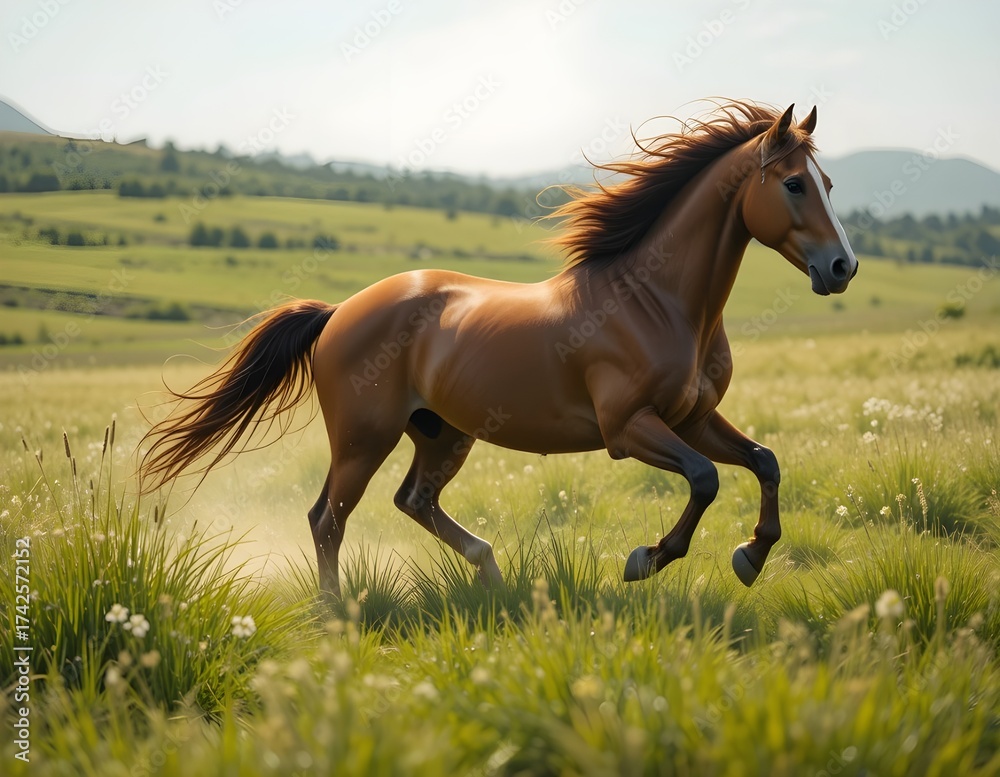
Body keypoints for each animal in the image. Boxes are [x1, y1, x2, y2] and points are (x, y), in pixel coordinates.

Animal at [138, 100, 858, 598]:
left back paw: (492, 573)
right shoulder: (629, 428)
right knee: (327, 519)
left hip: (442, 432)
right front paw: (645, 560)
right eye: (794, 184)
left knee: (413, 502)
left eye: (827, 182)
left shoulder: (694, 418)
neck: (658, 302)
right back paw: (335, 611)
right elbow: (706, 479)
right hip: (364, 437)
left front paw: (751, 555)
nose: (842, 267)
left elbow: (763, 462)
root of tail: (340, 311)